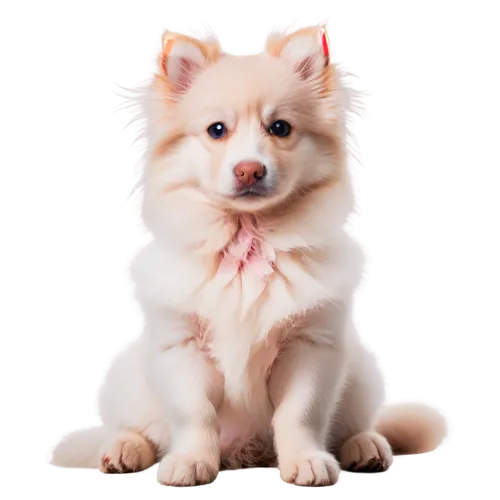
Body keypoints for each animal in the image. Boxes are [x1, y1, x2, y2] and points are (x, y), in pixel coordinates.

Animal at [45, 20, 456, 488]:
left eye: (280, 128)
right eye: (216, 131)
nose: (249, 170)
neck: (249, 238)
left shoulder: (310, 347)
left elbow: (299, 414)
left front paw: (306, 462)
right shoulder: (180, 347)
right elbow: (195, 415)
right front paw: (190, 462)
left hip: (362, 372)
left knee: (357, 424)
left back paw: (365, 447)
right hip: (125, 377)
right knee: (137, 428)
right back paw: (123, 451)